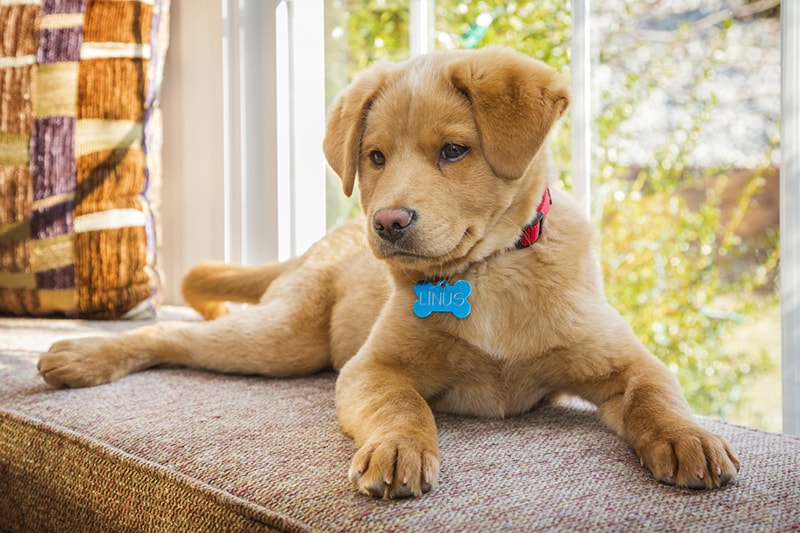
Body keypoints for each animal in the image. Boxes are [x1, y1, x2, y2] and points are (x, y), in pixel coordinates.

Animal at [37, 46, 736, 498]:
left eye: (453, 151)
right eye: (374, 157)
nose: (389, 222)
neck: (487, 273)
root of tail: (320, 242)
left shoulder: (625, 360)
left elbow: (656, 395)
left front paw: (689, 437)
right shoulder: (370, 368)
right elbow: (403, 403)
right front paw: (401, 447)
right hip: (284, 341)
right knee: (172, 335)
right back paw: (80, 357)